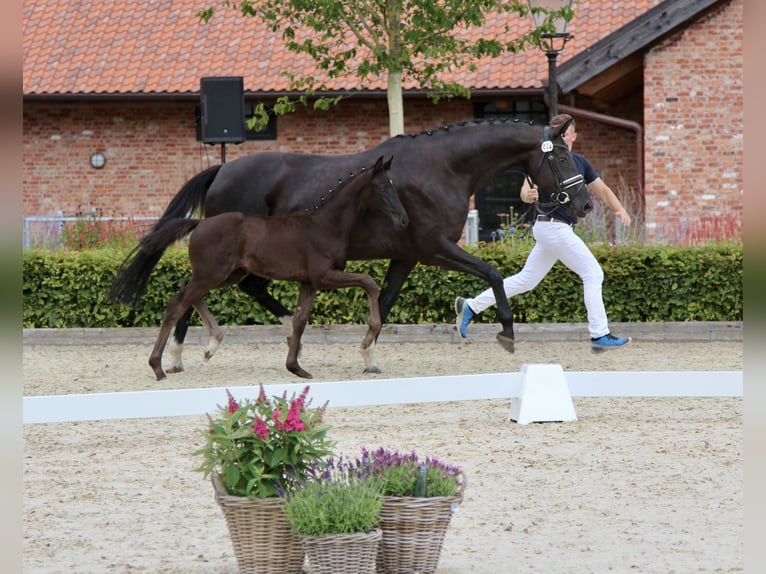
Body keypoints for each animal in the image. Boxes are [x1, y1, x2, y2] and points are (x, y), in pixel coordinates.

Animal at [146, 156, 408, 382]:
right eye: (382, 188)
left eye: (392, 186)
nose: (403, 220)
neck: (326, 226)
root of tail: (199, 223)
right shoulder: (323, 277)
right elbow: (369, 282)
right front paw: (368, 339)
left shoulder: (309, 282)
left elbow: (300, 320)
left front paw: (296, 367)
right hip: (211, 275)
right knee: (177, 304)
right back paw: (158, 366)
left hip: (226, 275)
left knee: (185, 293)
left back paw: (212, 344)